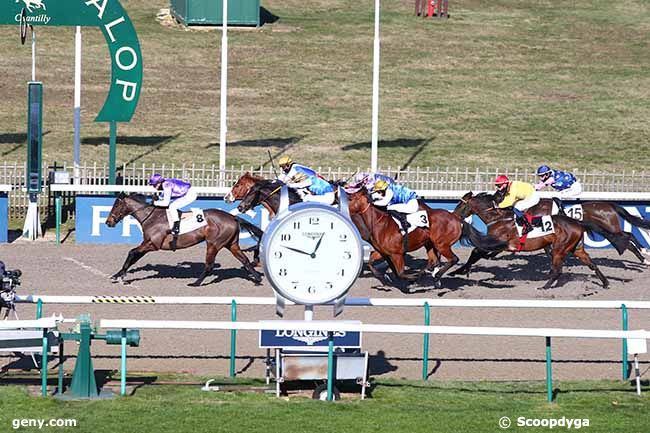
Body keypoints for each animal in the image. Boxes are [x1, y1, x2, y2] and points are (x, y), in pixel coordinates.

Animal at [105, 192, 262, 286]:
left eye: (116, 205)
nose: (108, 222)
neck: (152, 217)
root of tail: (233, 217)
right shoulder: (147, 243)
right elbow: (133, 257)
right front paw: (118, 275)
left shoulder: (152, 244)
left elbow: (131, 253)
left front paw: (121, 276)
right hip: (231, 244)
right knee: (245, 260)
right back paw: (258, 279)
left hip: (213, 244)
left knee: (209, 265)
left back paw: (196, 283)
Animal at [344, 187, 506, 288]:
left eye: (351, 198)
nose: (342, 204)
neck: (379, 222)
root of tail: (457, 218)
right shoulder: (382, 251)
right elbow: (371, 263)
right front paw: (385, 278)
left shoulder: (396, 254)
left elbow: (401, 273)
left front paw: (411, 278)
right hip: (431, 244)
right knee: (433, 261)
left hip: (442, 244)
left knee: (453, 259)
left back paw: (435, 276)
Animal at [446, 191, 616, 288]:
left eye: (460, 205)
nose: (453, 215)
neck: (498, 218)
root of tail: (578, 223)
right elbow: (476, 253)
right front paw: (460, 270)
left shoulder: (496, 243)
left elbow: (475, 252)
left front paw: (458, 271)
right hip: (576, 248)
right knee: (591, 264)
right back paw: (605, 283)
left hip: (560, 248)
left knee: (557, 270)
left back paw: (544, 286)